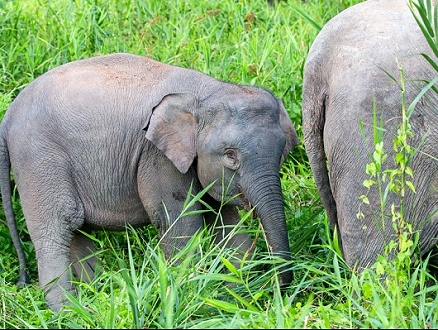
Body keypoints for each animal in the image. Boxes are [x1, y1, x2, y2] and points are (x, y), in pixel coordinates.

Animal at [0, 52, 300, 312]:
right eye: (230, 155)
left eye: (283, 151)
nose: (276, 289)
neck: (208, 91)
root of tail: (8, 115)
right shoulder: (155, 155)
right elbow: (180, 222)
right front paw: (192, 292)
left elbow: (225, 221)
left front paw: (236, 290)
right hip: (39, 159)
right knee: (58, 228)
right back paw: (68, 312)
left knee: (76, 231)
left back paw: (94, 298)